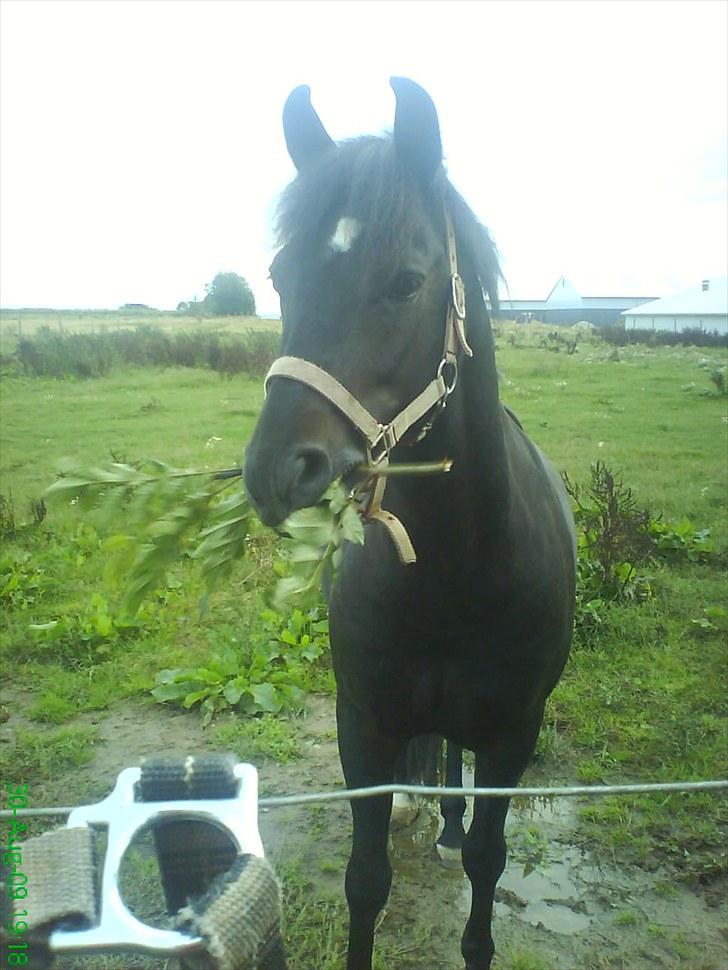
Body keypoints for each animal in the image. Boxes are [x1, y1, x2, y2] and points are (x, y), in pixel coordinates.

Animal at [244, 78, 576, 970]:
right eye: (281, 277)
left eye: (405, 282)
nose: (275, 470)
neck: (461, 570)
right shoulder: (363, 722)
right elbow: (365, 881)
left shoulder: (513, 734)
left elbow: (489, 865)